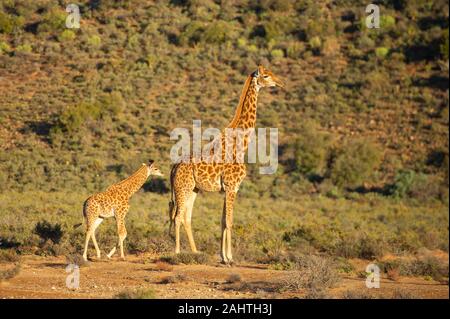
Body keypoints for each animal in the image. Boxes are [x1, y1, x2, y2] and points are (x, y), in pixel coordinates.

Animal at [167, 65, 284, 264]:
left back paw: (195, 252)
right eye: (266, 75)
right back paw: (177, 253)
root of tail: (174, 168)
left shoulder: (228, 188)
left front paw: (223, 257)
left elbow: (222, 221)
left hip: (192, 189)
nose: (280, 83)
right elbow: (229, 221)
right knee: (177, 216)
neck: (241, 144)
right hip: (182, 187)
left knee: (186, 217)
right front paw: (229, 258)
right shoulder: (232, 186)